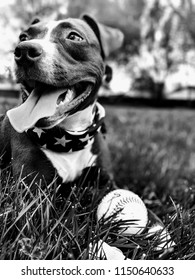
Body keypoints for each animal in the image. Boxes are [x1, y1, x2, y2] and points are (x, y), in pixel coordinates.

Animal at [0, 13, 123, 197]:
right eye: (23, 37)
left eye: (74, 36)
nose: (24, 51)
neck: (69, 138)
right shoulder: (31, 188)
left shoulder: (106, 182)